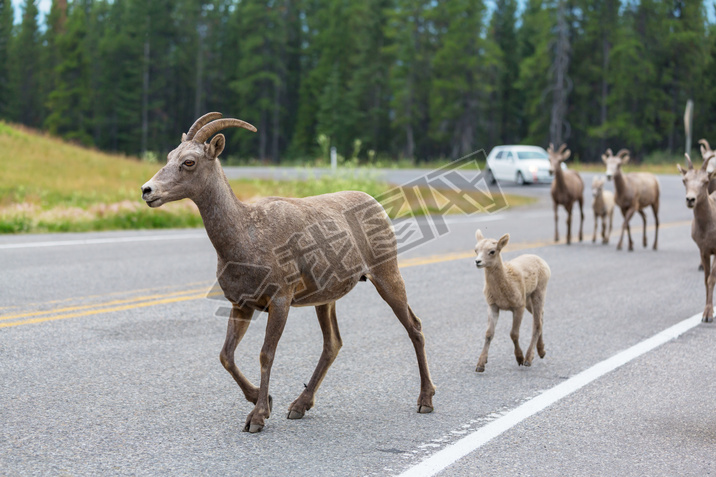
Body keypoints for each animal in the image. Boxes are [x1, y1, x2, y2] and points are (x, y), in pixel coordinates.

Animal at [138, 113, 434, 434]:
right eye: (169, 156)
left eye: (189, 161)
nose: (147, 190)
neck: (245, 239)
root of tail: (377, 205)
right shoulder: (240, 305)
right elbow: (226, 356)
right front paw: (263, 398)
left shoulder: (280, 301)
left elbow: (266, 354)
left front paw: (257, 417)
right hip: (325, 300)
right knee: (332, 344)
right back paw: (299, 406)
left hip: (387, 276)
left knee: (414, 327)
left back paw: (425, 401)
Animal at [472, 230, 552, 372]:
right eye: (476, 250)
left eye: (492, 251)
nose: (478, 261)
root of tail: (542, 261)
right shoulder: (493, 306)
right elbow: (489, 334)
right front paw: (480, 365)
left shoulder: (518, 307)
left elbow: (514, 334)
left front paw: (519, 359)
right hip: (528, 299)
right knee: (541, 317)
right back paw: (541, 351)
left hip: (539, 292)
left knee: (537, 323)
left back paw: (529, 359)